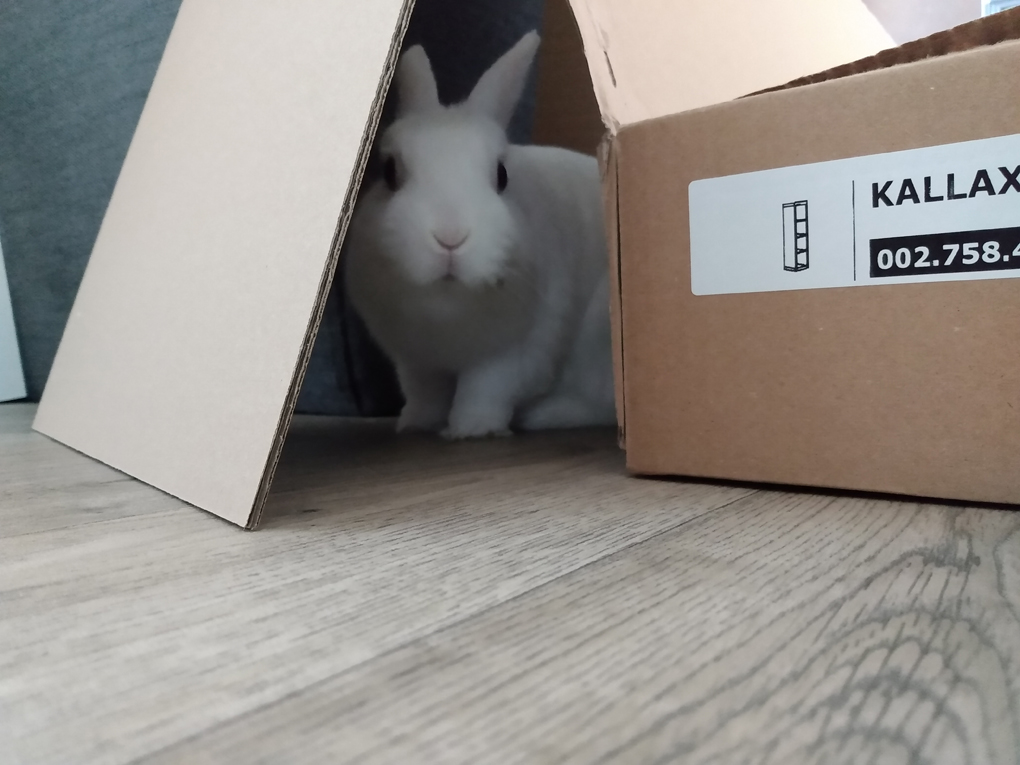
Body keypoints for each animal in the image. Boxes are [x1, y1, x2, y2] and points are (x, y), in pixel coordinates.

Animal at [344, 29, 612, 440]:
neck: (446, 310)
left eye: (502, 176)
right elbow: (424, 393)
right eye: (389, 172)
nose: (450, 237)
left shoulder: (514, 353)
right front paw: (416, 425)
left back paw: (544, 415)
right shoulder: (415, 361)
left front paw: (471, 430)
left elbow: (484, 390)